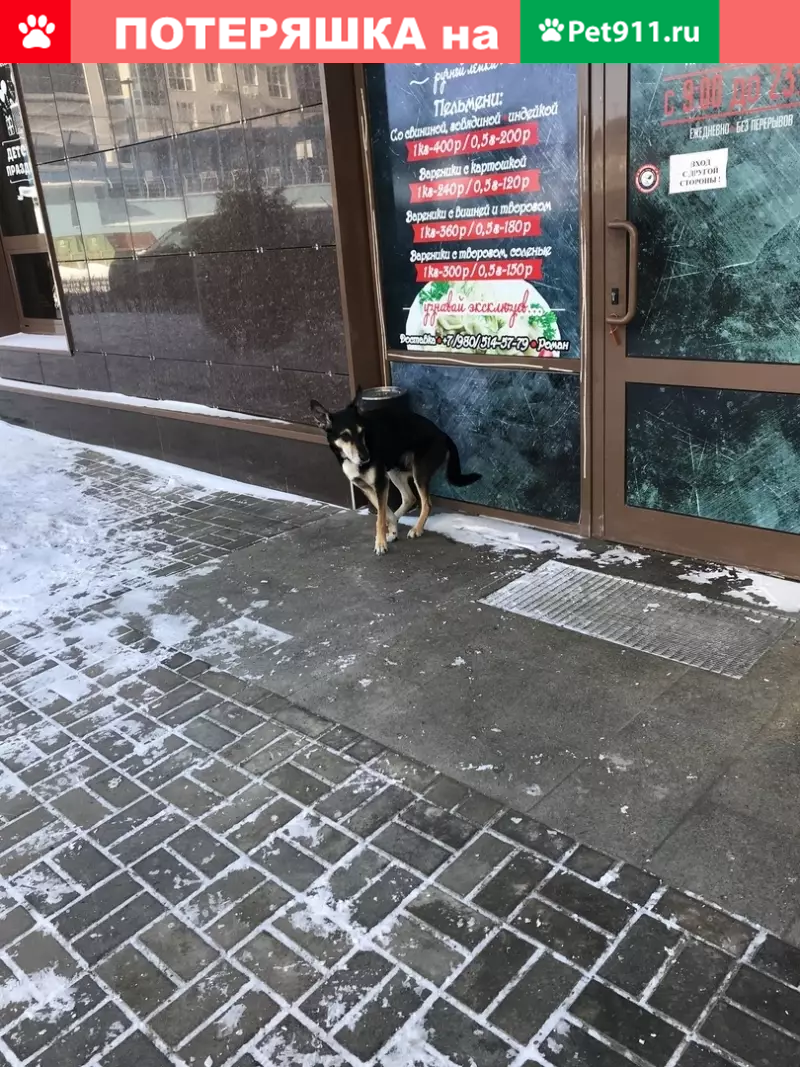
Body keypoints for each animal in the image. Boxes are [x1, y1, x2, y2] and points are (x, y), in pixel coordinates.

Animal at [309, 392, 480, 559]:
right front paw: (391, 530)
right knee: (409, 498)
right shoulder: (368, 487)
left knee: (426, 503)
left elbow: (380, 518)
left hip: (418, 472)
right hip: (394, 472)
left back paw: (417, 529)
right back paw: (397, 523)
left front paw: (380, 544)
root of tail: (442, 434)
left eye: (361, 432)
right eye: (345, 436)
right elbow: (383, 512)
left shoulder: (380, 482)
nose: (366, 458)